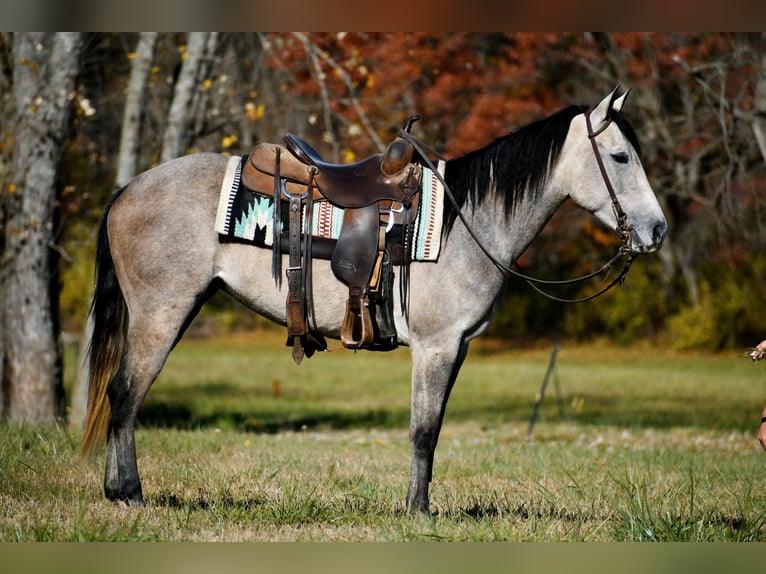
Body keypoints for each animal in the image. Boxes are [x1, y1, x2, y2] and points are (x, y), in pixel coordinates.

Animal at [79, 90, 664, 516]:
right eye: (620, 156)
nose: (657, 230)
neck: (464, 222)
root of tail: (128, 189)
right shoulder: (434, 346)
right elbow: (423, 431)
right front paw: (418, 511)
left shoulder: (456, 349)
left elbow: (434, 428)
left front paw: (416, 504)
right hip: (162, 314)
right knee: (125, 394)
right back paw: (128, 494)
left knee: (122, 396)